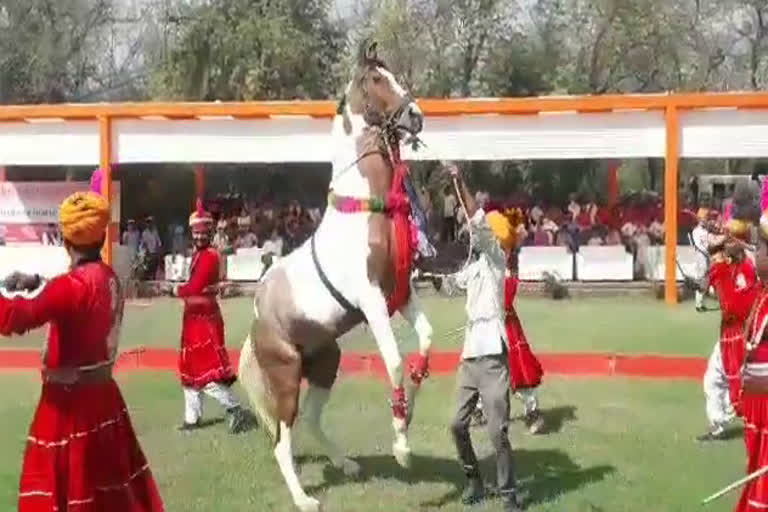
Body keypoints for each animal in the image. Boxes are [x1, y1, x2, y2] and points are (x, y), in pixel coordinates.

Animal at [237, 41, 436, 512]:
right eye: (378, 79)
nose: (415, 116)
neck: (366, 207)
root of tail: (257, 319)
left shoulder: (402, 295)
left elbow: (424, 345)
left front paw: (406, 425)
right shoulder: (371, 300)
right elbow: (395, 361)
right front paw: (401, 447)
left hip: (326, 362)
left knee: (310, 419)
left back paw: (346, 464)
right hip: (287, 376)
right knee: (283, 438)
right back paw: (304, 497)